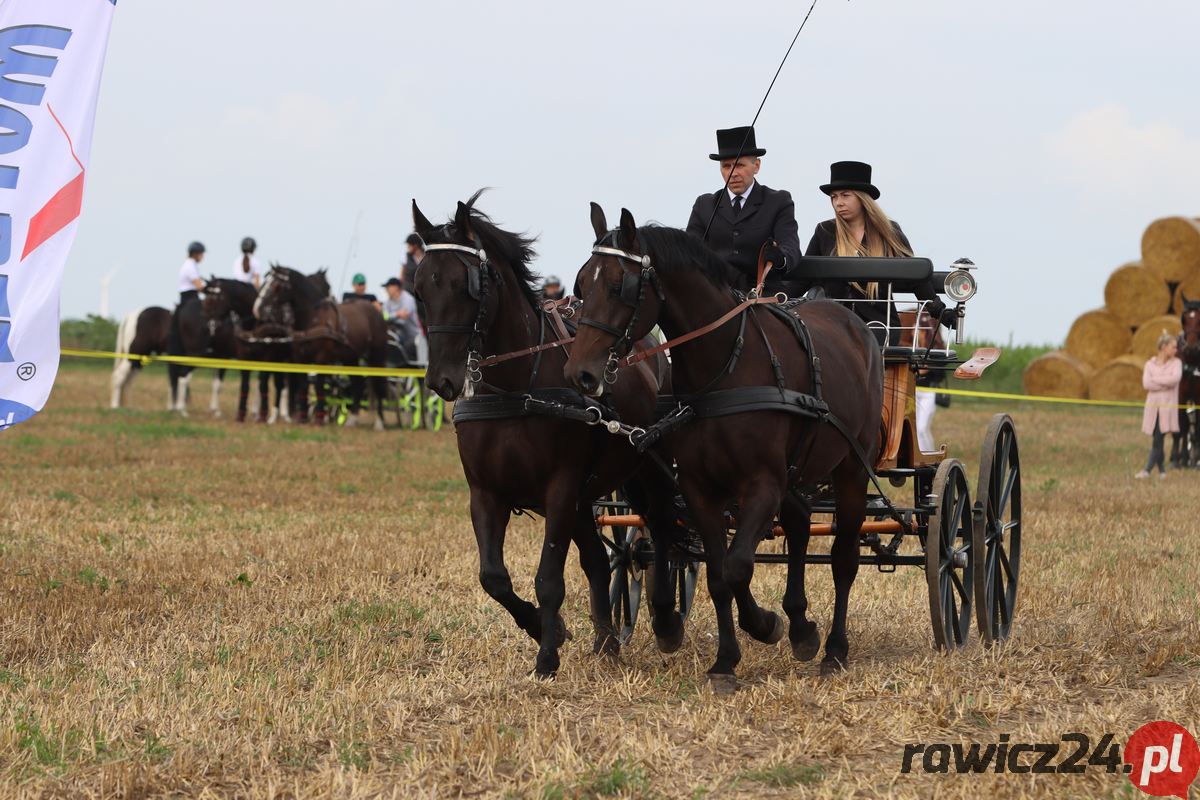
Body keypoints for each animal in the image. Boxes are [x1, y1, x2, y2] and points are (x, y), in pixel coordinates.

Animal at [412, 191, 681, 676]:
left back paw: (666, 620)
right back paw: (605, 640)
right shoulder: (486, 493)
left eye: (466, 286)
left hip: (645, 466)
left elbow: (549, 578)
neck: (518, 389)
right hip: (585, 496)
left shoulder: (559, 488)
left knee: (662, 529)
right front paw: (546, 630)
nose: (442, 379)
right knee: (600, 562)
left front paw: (547, 658)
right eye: (421, 287)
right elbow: (494, 578)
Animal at [561, 209, 883, 690]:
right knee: (800, 522)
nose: (579, 373)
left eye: (622, 285)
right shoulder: (700, 487)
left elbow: (737, 567)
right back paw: (802, 628)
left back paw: (834, 650)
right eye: (582, 283)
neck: (724, 368)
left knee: (844, 558)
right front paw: (727, 660)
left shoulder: (762, 483)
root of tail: (855, 324)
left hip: (851, 469)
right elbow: (718, 573)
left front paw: (763, 626)